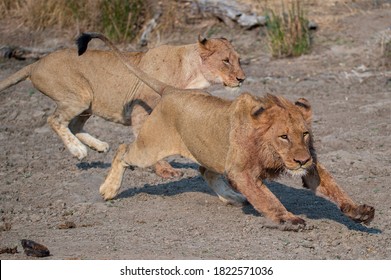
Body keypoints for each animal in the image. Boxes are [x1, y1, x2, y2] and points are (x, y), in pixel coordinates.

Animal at [0, 32, 245, 177]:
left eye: (239, 60)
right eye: (226, 61)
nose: (242, 78)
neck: (192, 72)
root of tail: (36, 63)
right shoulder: (140, 111)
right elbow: (149, 144)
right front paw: (165, 170)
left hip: (87, 103)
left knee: (74, 125)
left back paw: (99, 146)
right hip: (80, 96)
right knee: (55, 119)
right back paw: (78, 150)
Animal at [80, 33, 376, 230]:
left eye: (304, 134)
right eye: (283, 136)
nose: (301, 160)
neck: (271, 150)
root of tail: (172, 90)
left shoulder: (309, 166)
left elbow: (334, 187)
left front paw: (359, 211)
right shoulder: (241, 171)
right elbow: (268, 199)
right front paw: (287, 218)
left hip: (210, 152)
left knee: (205, 171)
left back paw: (233, 197)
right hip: (150, 148)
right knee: (122, 150)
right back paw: (108, 190)